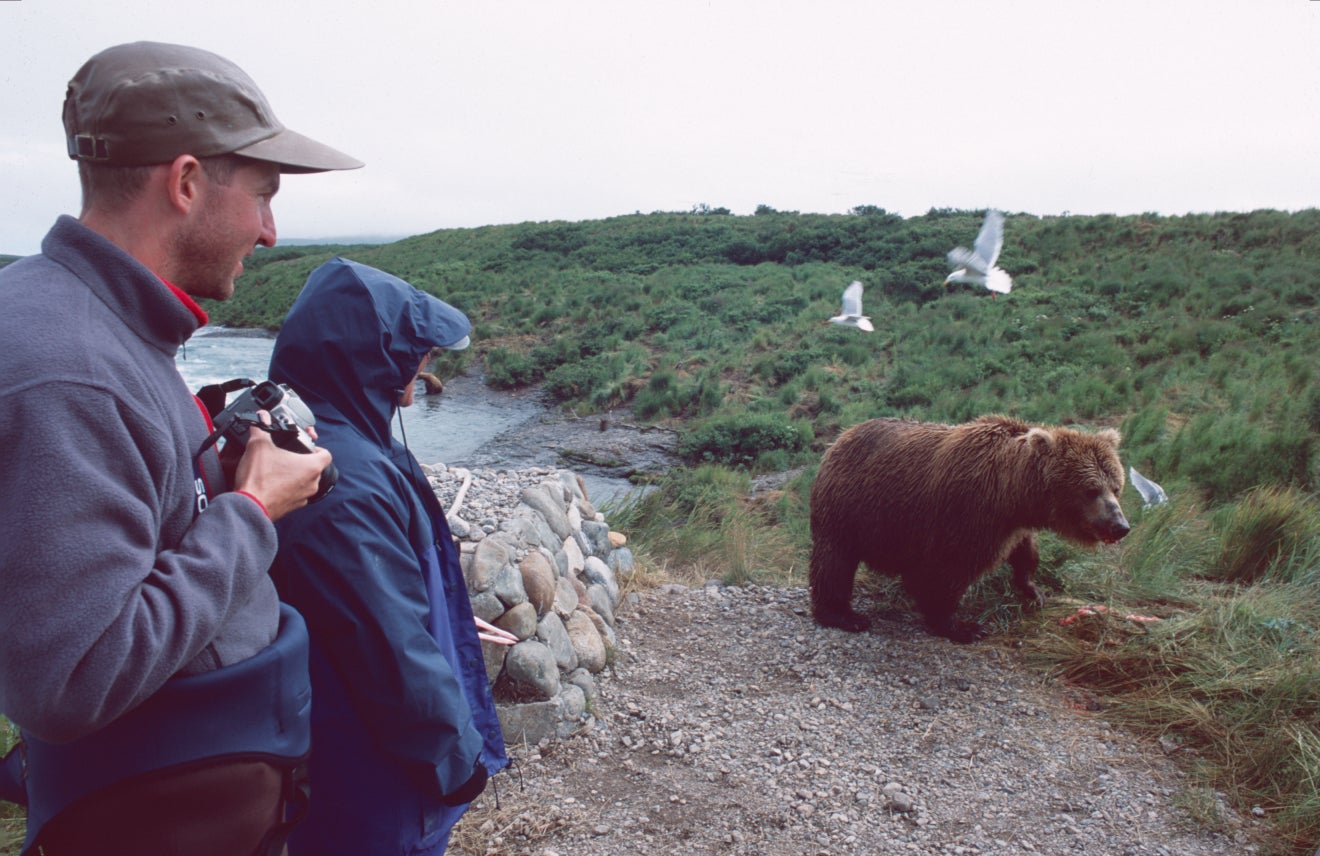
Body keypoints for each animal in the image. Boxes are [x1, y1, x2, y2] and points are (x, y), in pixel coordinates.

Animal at [808, 415, 1130, 643]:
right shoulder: (968, 511)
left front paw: (1033, 589)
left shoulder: (1012, 523)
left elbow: (1025, 550)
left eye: (1116, 486)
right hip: (850, 506)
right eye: (1090, 490)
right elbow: (951, 570)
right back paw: (844, 615)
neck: (1013, 492)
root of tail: (840, 437)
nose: (1120, 525)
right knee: (835, 562)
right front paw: (962, 626)